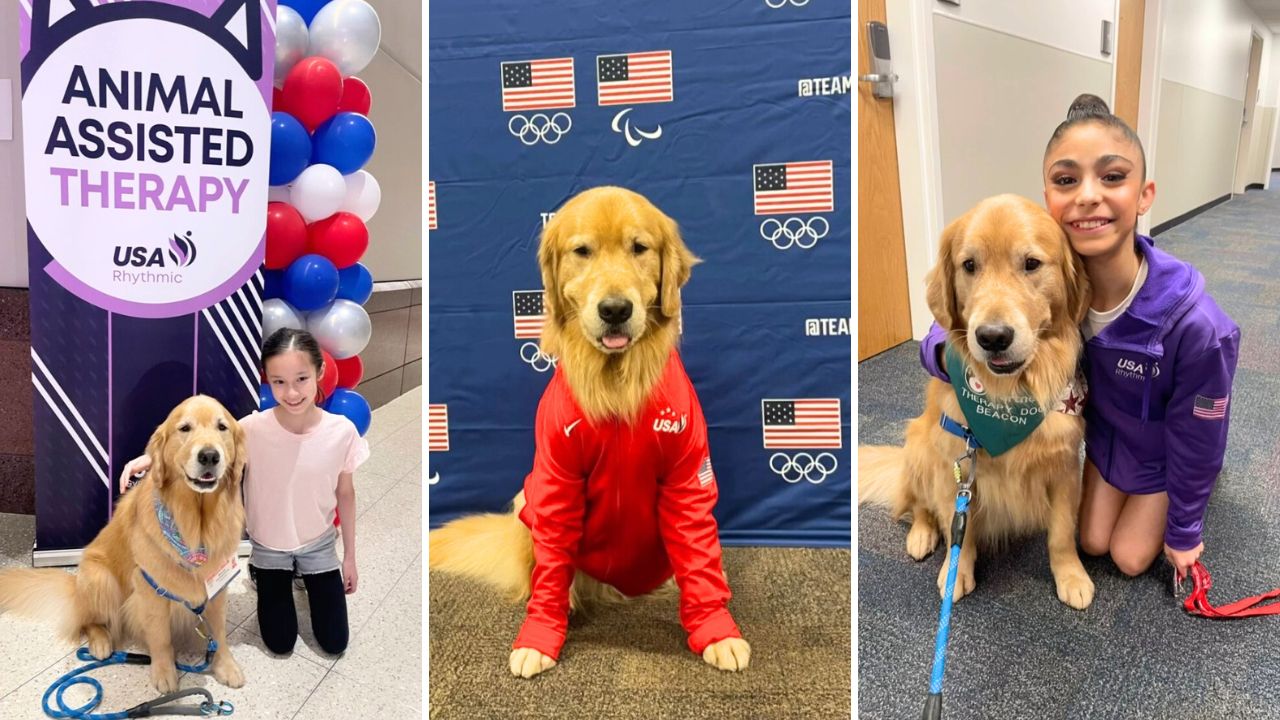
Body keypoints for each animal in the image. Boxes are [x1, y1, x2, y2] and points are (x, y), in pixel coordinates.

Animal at [0, 392, 245, 691]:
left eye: (222, 427)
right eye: (185, 428)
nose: (209, 455)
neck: (194, 525)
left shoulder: (217, 586)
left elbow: (219, 632)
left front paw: (226, 665)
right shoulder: (149, 587)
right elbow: (161, 636)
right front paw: (164, 671)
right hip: (100, 579)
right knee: (89, 621)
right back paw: (101, 644)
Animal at [430, 183, 747, 671]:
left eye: (639, 248)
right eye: (582, 251)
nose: (615, 309)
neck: (615, 385)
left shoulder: (687, 479)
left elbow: (700, 560)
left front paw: (716, 629)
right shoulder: (557, 483)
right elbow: (550, 569)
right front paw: (540, 634)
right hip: (527, 500)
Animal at [855, 193, 1095, 607]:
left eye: (1031, 263)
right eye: (969, 265)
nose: (993, 337)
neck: (1006, 396)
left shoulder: (1065, 466)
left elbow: (1062, 532)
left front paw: (1071, 575)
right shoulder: (956, 467)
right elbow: (958, 530)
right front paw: (956, 573)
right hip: (920, 447)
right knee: (919, 507)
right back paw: (921, 535)